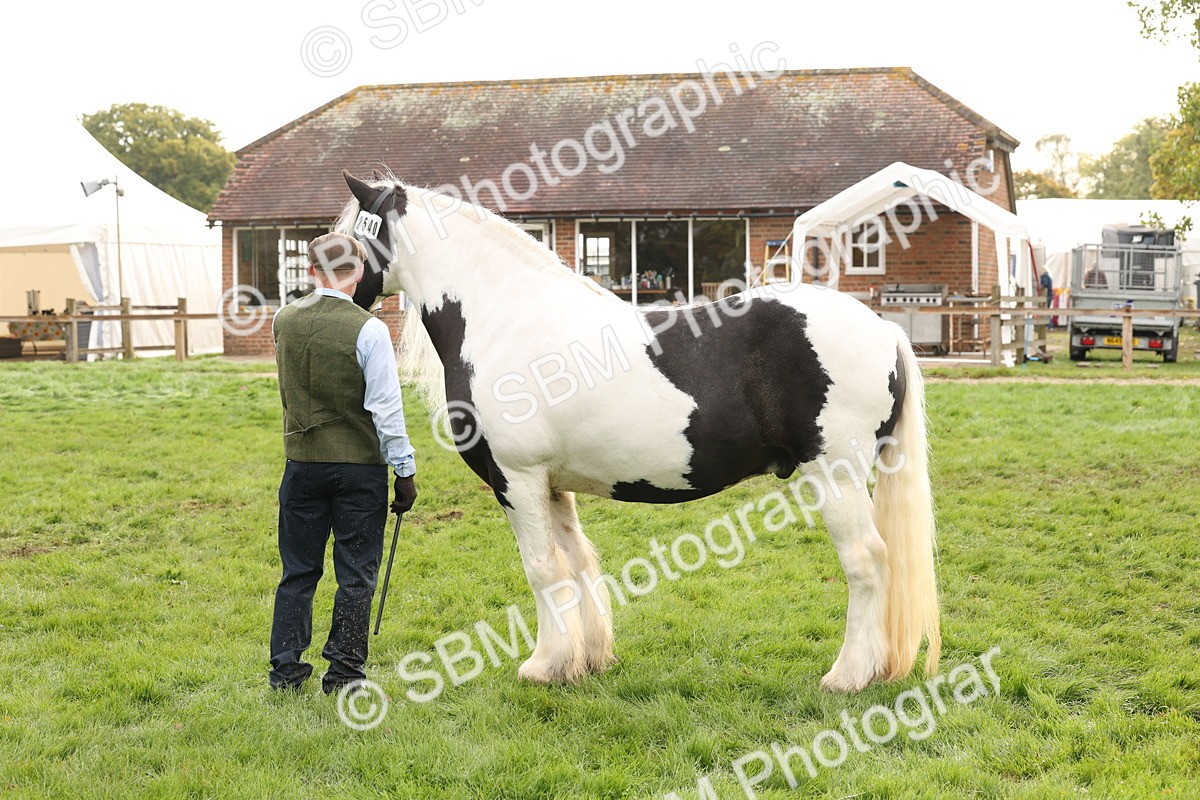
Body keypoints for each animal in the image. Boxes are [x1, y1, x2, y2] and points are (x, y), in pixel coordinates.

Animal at [335, 169, 939, 692]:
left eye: (347, 241)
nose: (339, 295)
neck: (504, 318)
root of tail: (883, 329)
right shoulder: (552, 486)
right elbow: (576, 562)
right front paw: (584, 660)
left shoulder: (517, 479)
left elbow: (541, 569)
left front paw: (543, 665)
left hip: (836, 476)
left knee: (866, 562)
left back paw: (848, 675)